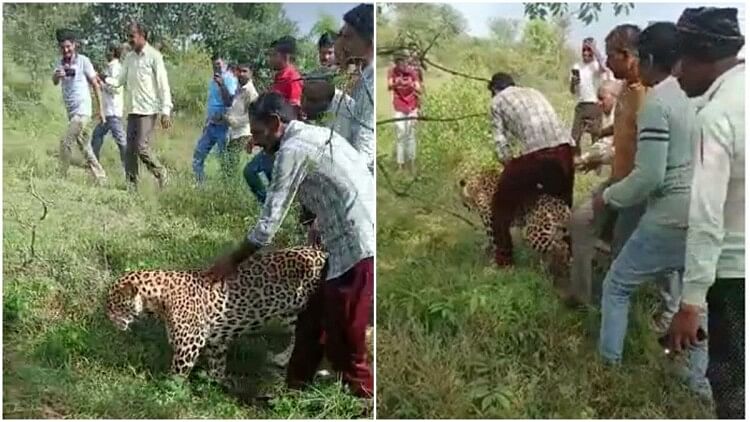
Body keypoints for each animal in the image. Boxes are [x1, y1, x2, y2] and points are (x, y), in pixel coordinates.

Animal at [105, 247, 328, 382]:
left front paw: (166, 392)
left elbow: (177, 373)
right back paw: (283, 359)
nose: (108, 318)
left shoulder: (189, 342)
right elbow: (217, 364)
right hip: (292, 313)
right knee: (298, 336)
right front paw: (215, 384)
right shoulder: (216, 339)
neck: (157, 299)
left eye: (113, 305)